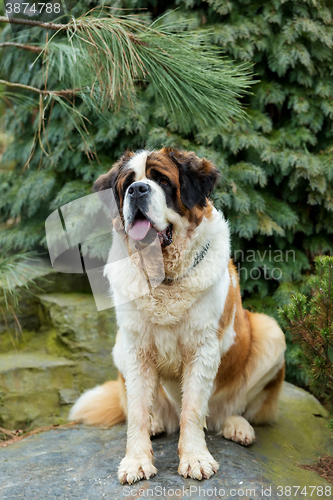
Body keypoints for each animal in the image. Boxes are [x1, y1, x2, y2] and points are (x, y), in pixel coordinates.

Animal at [70, 146, 286, 482]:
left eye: (162, 180)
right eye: (127, 183)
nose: (137, 190)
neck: (164, 277)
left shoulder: (203, 349)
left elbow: (194, 409)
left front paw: (195, 458)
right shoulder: (135, 348)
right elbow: (136, 411)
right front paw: (136, 460)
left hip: (271, 332)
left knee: (229, 409)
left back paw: (237, 426)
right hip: (119, 346)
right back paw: (157, 422)